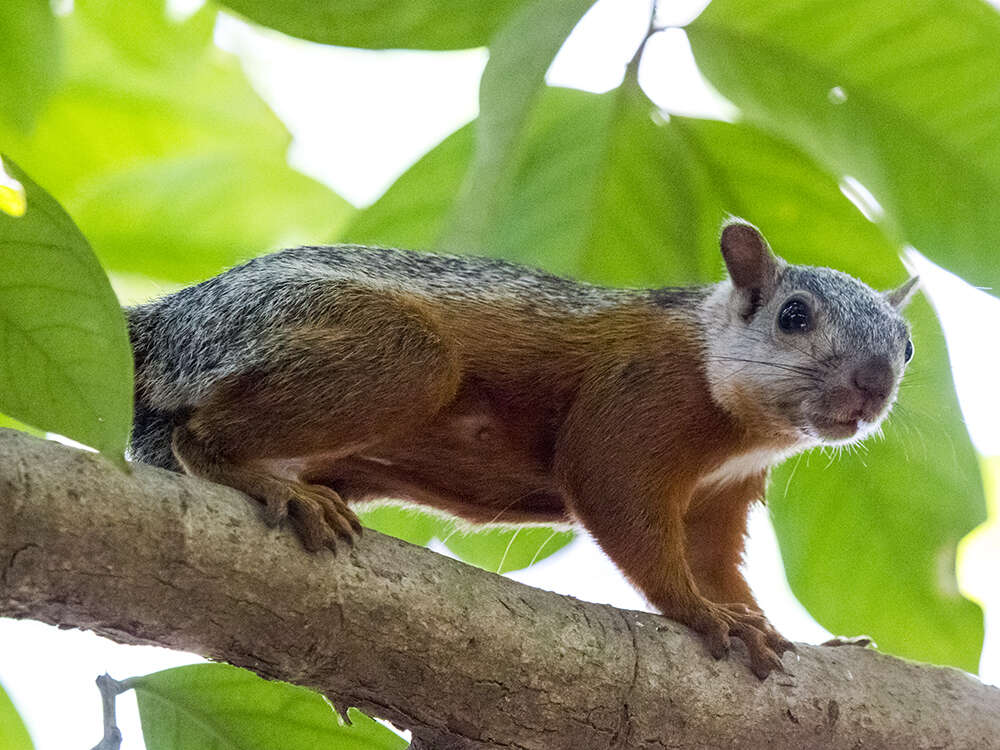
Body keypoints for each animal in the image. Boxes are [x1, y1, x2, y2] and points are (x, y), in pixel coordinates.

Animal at [127, 220, 920, 680]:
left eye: (908, 346)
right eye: (794, 316)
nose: (874, 385)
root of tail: (169, 322)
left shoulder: (722, 495)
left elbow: (716, 562)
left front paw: (765, 624)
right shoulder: (634, 400)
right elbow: (612, 489)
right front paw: (702, 614)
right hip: (393, 350)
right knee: (194, 435)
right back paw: (266, 481)